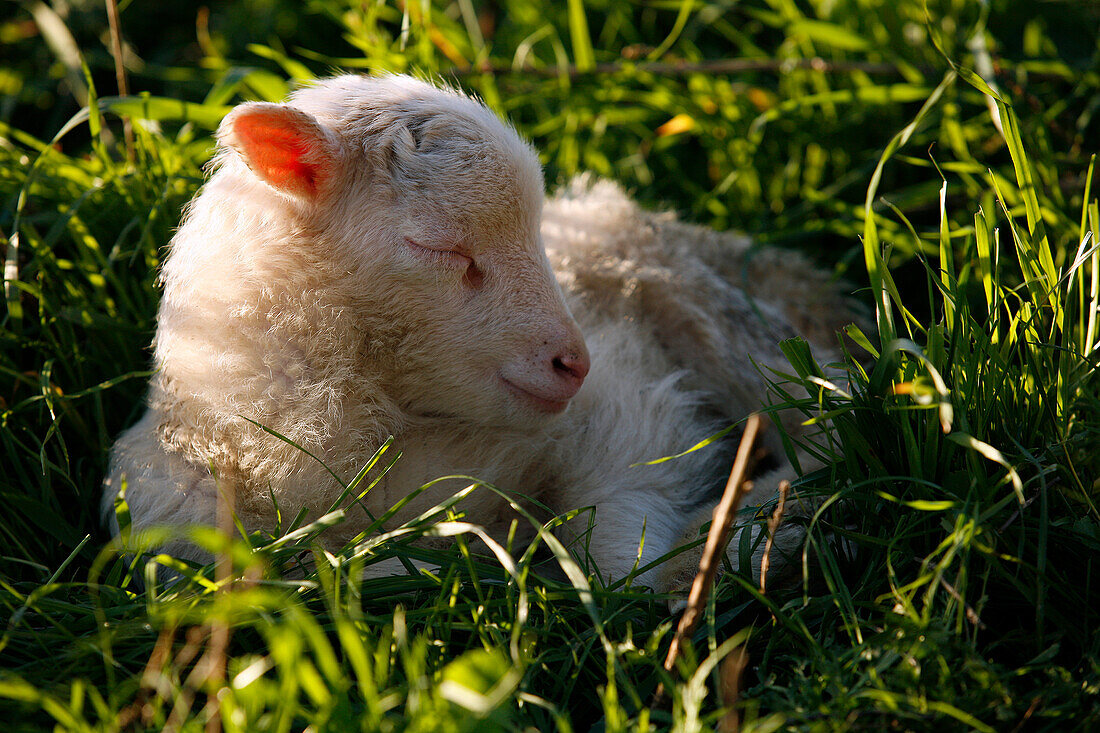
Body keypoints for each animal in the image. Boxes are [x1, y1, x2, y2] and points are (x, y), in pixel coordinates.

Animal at [101, 74, 858, 589]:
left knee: (837, 411)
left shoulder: (628, 411)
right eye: (438, 247)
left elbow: (612, 553)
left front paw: (701, 558)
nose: (573, 363)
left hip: (704, 304)